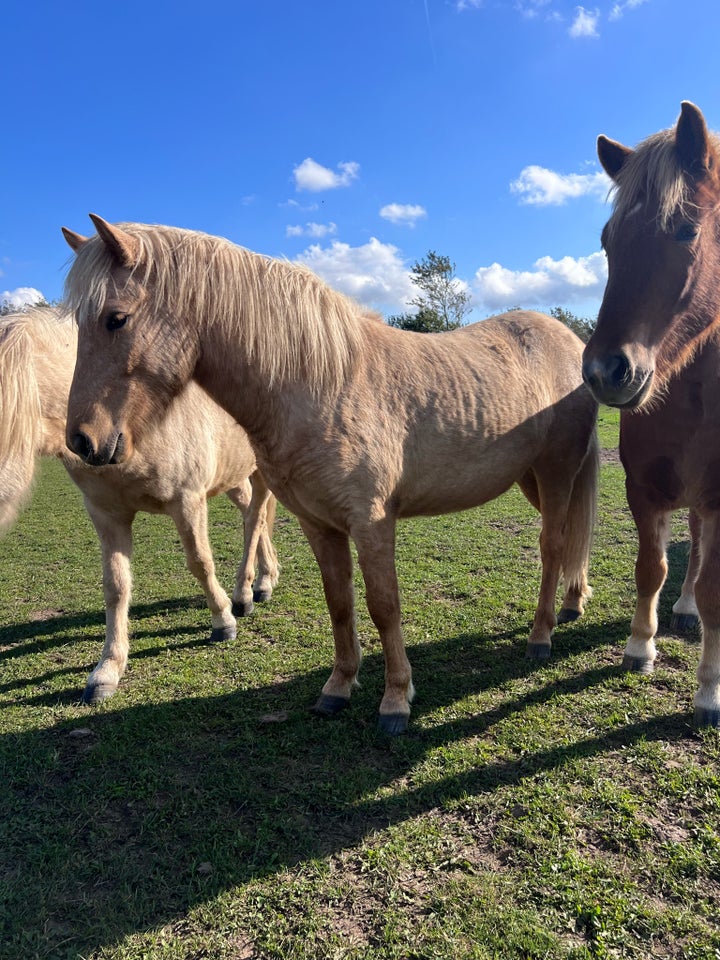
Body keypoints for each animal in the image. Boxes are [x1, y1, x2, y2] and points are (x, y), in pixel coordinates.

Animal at [0, 308, 280, 704]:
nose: (90, 445)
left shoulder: (187, 501)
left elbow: (200, 563)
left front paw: (223, 621)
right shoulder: (106, 515)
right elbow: (116, 586)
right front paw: (107, 671)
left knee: (255, 519)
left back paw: (245, 593)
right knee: (251, 516)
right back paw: (264, 580)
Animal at [63, 216, 600, 736]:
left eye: (116, 318)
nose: (82, 442)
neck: (322, 384)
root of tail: (570, 341)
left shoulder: (371, 523)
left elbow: (384, 606)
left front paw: (395, 700)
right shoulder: (318, 524)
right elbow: (339, 603)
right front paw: (339, 688)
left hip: (555, 472)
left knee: (553, 546)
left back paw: (541, 635)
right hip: (531, 478)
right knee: (571, 536)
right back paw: (575, 602)